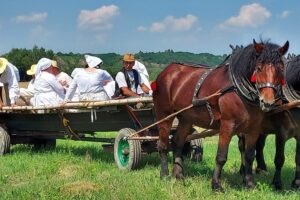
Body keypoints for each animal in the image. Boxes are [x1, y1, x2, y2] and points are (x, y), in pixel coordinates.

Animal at [152, 39, 288, 191]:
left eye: (281, 68)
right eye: (258, 68)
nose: (268, 102)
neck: (238, 89)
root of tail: (166, 72)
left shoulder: (253, 129)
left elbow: (249, 156)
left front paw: (249, 184)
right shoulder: (227, 125)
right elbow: (221, 157)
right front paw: (216, 184)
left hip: (186, 118)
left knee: (177, 142)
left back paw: (179, 175)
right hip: (164, 115)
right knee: (163, 145)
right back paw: (164, 175)